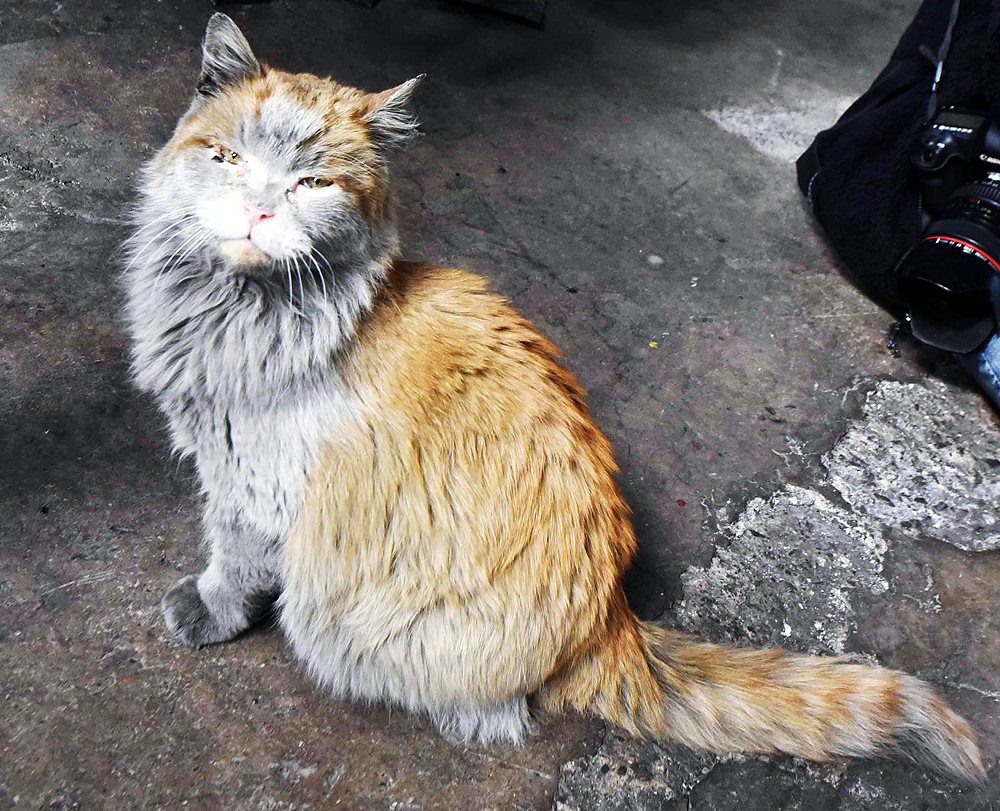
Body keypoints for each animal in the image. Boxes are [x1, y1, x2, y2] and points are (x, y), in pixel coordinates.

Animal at [123, 12, 984, 784]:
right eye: (228, 157)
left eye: (313, 183)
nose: (259, 210)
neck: (237, 310)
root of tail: (612, 625)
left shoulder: (255, 485)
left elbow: (232, 561)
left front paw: (205, 611)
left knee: (489, 711)